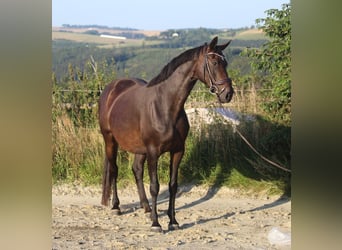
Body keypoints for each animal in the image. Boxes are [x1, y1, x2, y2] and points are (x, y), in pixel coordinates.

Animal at [98, 36, 232, 231]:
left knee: (136, 170)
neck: (165, 105)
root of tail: (111, 89)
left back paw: (146, 208)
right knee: (114, 170)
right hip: (110, 141)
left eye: (225, 63)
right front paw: (156, 223)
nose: (228, 94)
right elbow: (155, 186)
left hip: (139, 148)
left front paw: (173, 221)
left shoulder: (177, 151)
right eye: (214, 62)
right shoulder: (154, 152)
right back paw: (116, 206)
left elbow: (173, 185)